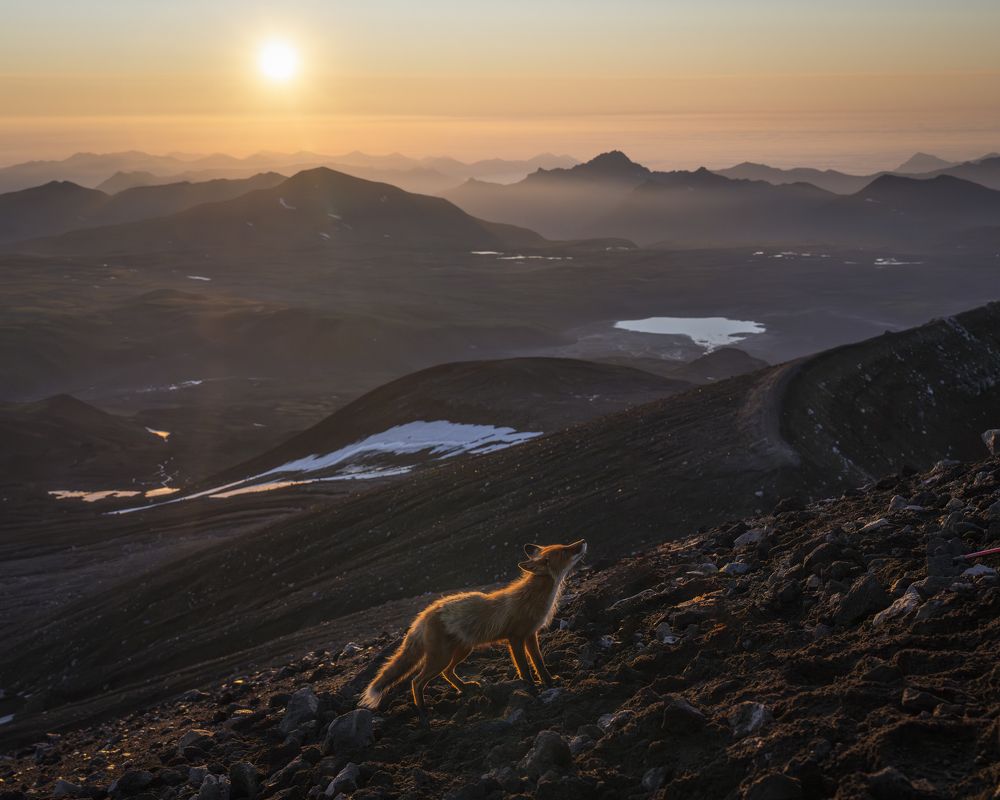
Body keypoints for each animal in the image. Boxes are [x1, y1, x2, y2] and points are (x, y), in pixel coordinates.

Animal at [360, 539, 587, 718]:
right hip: (440, 657)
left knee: (447, 673)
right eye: (565, 551)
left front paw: (550, 683)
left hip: (461, 651)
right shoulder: (515, 638)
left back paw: (464, 688)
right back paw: (423, 710)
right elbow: (524, 668)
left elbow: (539, 664)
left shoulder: (531, 635)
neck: (531, 597)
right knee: (416, 681)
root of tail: (424, 614)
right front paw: (531, 690)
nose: (583, 542)